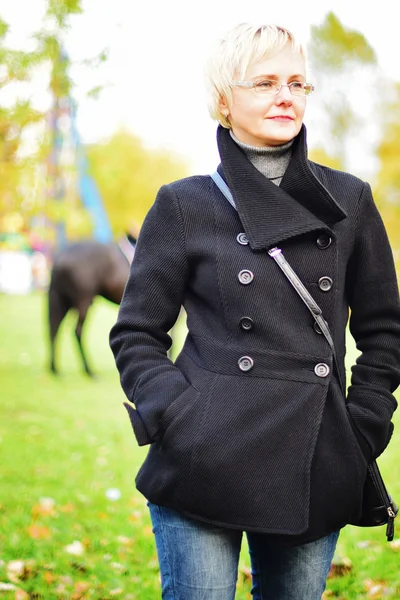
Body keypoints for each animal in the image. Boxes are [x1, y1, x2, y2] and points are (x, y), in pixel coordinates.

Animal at [49, 238, 134, 376]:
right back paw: (89, 370)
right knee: (77, 331)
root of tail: (61, 257)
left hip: (60, 298)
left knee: (54, 328)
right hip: (83, 301)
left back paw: (54, 369)